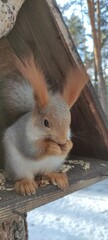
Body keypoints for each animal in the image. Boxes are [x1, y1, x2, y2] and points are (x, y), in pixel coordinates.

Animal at [1, 46, 88, 195]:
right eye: (46, 122)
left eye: (69, 122)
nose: (61, 141)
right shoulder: (23, 136)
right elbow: (32, 149)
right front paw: (51, 147)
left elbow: (69, 144)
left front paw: (68, 145)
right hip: (16, 164)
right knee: (25, 176)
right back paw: (26, 185)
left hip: (53, 162)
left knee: (46, 172)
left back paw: (57, 176)